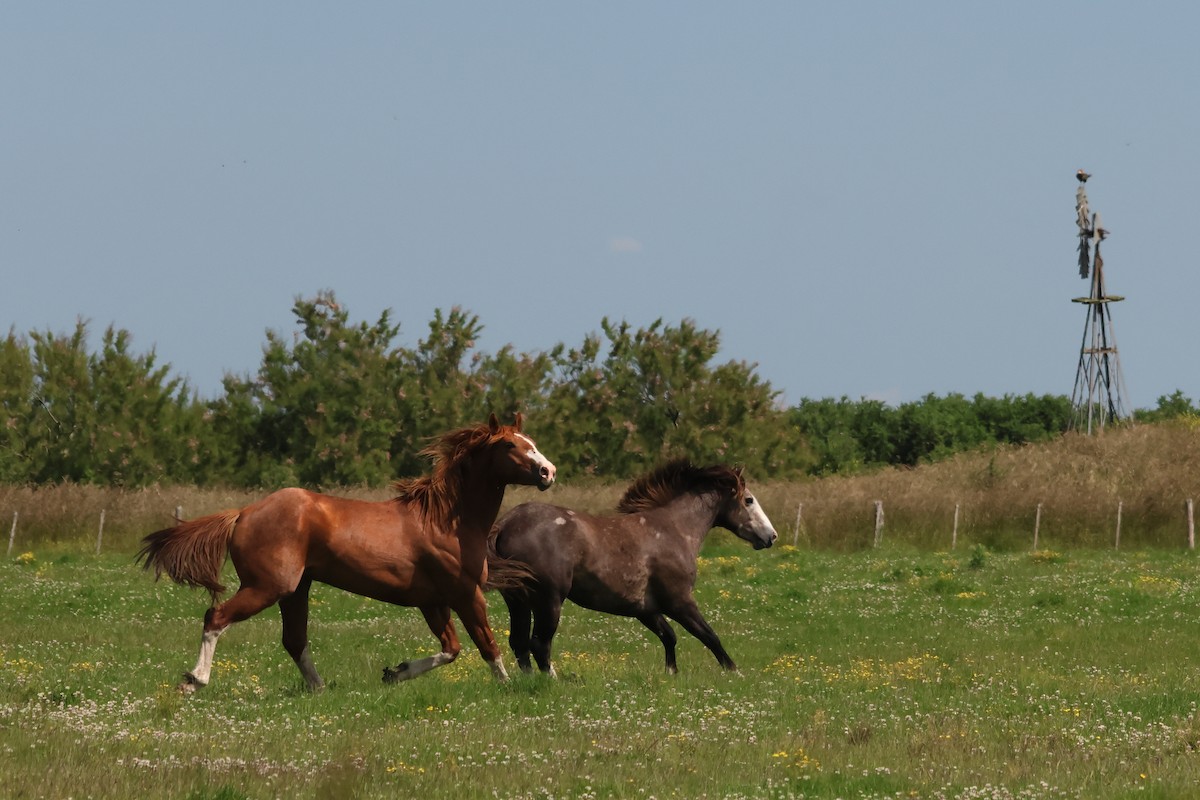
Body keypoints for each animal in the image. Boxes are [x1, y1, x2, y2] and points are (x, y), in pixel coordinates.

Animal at [137, 413, 555, 694]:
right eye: (509, 444)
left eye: (531, 440)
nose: (548, 472)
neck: (446, 521)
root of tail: (243, 513)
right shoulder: (466, 594)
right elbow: (487, 644)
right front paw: (507, 687)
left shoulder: (432, 601)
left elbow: (450, 649)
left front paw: (395, 673)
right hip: (267, 587)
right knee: (216, 617)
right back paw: (195, 680)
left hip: (295, 591)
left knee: (294, 640)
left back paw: (319, 689)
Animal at [491, 459, 777, 676]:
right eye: (749, 500)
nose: (771, 536)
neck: (673, 529)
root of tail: (507, 522)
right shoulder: (680, 602)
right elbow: (709, 636)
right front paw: (735, 673)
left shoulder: (644, 608)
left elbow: (669, 636)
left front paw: (671, 674)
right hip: (548, 600)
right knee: (539, 644)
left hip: (517, 600)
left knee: (519, 643)